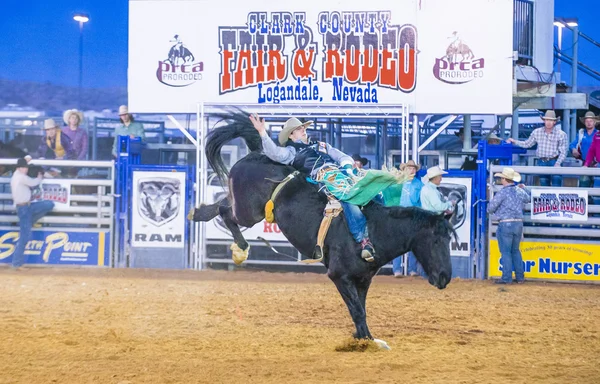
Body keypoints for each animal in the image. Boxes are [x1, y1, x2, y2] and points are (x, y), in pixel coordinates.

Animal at [192, 111, 454, 348]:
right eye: (436, 240)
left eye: (450, 240)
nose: (445, 277)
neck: (377, 229)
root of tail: (257, 153)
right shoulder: (339, 275)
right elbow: (357, 310)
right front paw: (364, 342)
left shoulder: (363, 279)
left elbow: (360, 308)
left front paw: (363, 337)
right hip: (249, 212)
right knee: (226, 212)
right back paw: (240, 248)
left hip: (245, 207)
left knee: (222, 204)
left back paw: (197, 213)